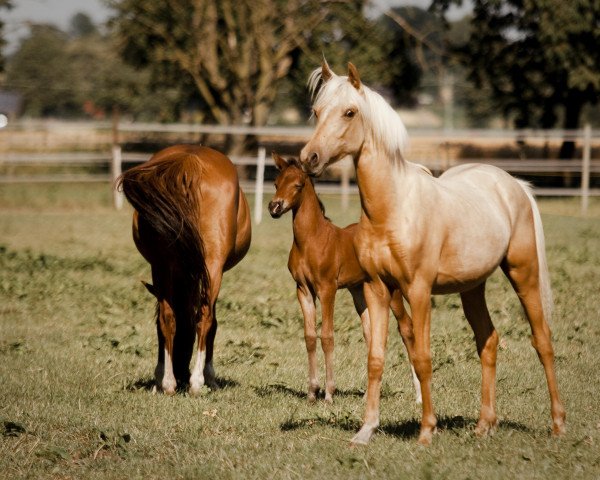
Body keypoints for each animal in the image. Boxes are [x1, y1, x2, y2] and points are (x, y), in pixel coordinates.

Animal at [119, 144, 251, 396]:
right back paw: (196, 382)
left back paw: (168, 383)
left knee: (166, 317)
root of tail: (188, 162)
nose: (182, 373)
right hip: (212, 266)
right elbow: (212, 323)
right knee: (205, 317)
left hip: (161, 265)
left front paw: (160, 377)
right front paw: (209, 377)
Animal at [268, 154, 422, 404]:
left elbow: (327, 336)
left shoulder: (327, 289)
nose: (274, 207)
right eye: (275, 183)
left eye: (298, 185)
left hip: (393, 292)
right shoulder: (303, 290)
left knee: (406, 328)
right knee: (371, 334)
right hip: (360, 291)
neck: (311, 240)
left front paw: (329, 393)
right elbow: (310, 336)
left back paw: (418, 395)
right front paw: (312, 392)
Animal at [300, 62, 568, 444]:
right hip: (472, 288)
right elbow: (375, 358)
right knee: (488, 341)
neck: (393, 209)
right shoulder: (376, 289)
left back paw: (558, 424)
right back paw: (484, 424)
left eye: (350, 112)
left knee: (542, 341)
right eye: (317, 111)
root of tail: (513, 184)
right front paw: (366, 430)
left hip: (523, 272)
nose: (309, 158)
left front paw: (427, 430)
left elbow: (423, 358)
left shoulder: (418, 291)